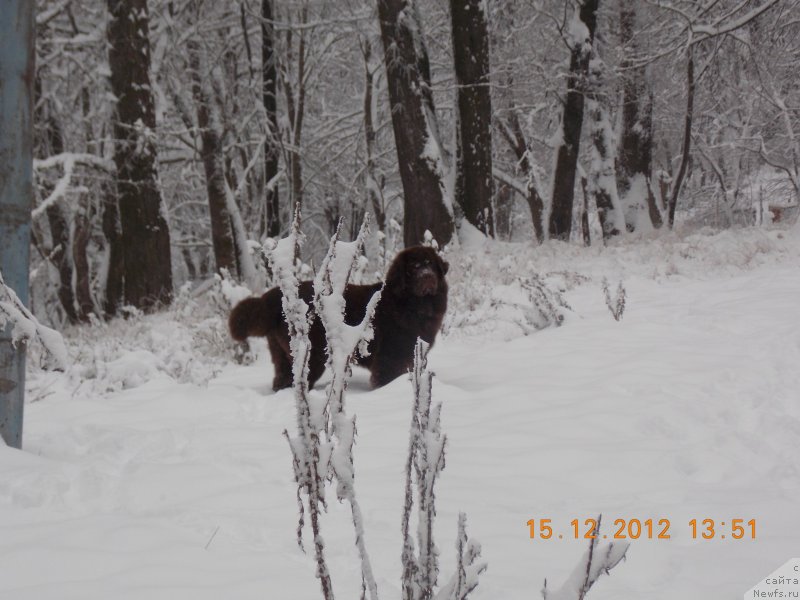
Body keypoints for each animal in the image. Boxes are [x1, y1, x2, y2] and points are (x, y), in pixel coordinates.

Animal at [228, 247, 446, 392]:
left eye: (431, 264)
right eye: (414, 267)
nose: (428, 277)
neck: (411, 305)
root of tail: (274, 296)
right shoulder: (390, 357)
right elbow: (386, 377)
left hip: (281, 353)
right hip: (311, 355)